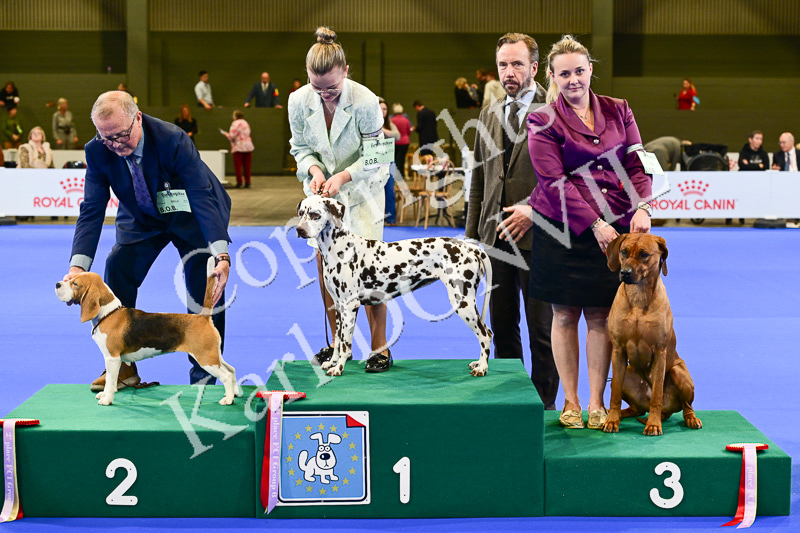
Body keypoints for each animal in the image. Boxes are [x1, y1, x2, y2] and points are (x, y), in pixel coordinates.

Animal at [55, 272, 240, 406]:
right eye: (71, 279)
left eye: (75, 283)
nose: (57, 284)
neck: (108, 313)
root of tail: (203, 317)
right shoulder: (112, 359)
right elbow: (110, 381)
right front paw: (106, 394)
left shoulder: (112, 358)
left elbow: (110, 380)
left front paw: (107, 400)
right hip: (214, 356)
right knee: (231, 370)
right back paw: (235, 393)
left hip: (206, 359)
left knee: (225, 375)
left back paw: (228, 399)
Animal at [295, 196, 493, 377]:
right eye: (301, 213)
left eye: (315, 215)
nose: (299, 229)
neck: (340, 249)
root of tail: (471, 248)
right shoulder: (338, 306)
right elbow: (337, 341)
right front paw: (332, 362)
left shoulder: (350, 307)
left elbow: (344, 344)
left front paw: (338, 368)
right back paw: (478, 363)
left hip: (463, 303)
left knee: (485, 334)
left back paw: (482, 367)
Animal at [602, 233, 702, 436]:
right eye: (623, 252)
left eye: (644, 254)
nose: (624, 272)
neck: (638, 297)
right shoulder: (618, 350)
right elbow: (615, 395)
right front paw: (612, 421)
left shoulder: (660, 352)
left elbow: (656, 393)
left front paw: (654, 425)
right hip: (626, 375)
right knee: (636, 408)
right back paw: (618, 414)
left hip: (679, 373)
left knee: (685, 406)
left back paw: (690, 419)